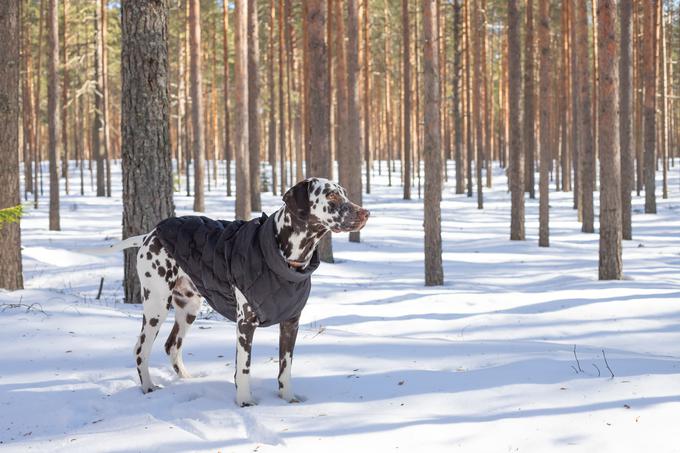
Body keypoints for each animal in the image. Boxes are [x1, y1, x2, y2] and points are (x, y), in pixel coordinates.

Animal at [109, 177, 370, 406]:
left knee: (172, 345)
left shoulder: (290, 323)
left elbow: (285, 368)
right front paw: (245, 401)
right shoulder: (245, 324)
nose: (365, 213)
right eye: (331, 195)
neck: (286, 258)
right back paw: (148, 387)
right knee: (141, 349)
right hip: (156, 305)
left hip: (188, 309)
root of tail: (150, 235)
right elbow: (244, 368)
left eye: (344, 192)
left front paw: (288, 400)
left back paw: (186, 380)